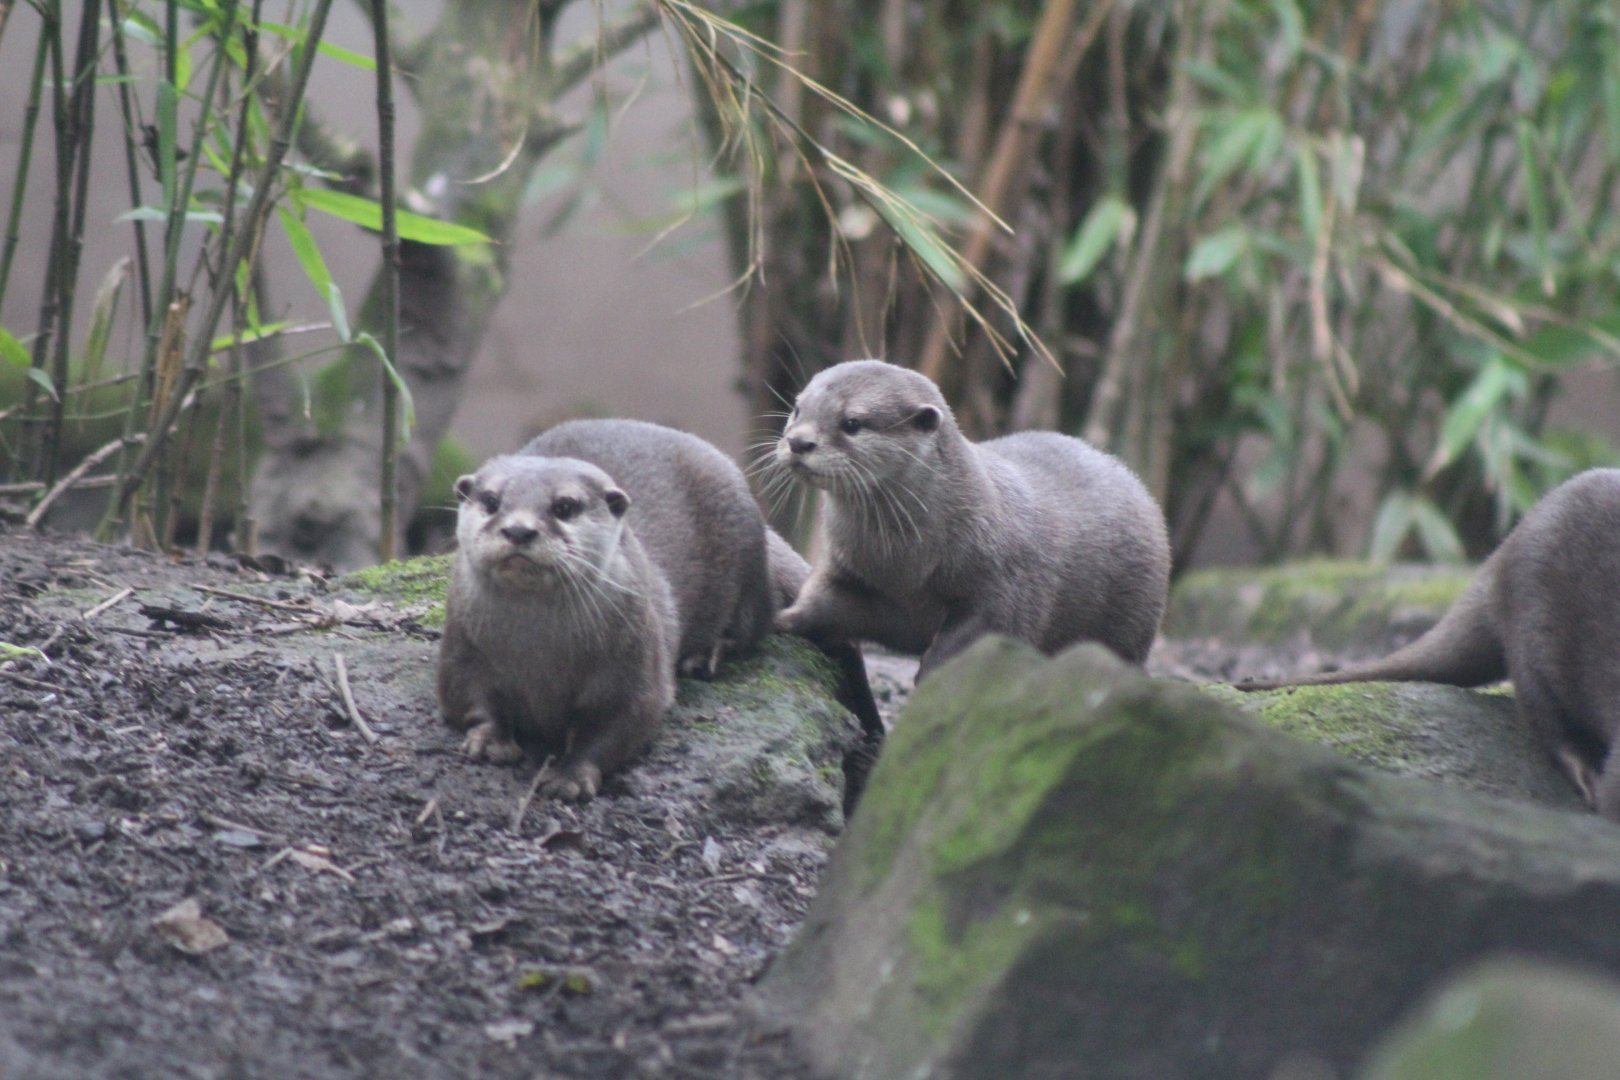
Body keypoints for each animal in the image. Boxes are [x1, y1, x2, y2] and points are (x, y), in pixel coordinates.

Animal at [771, 359, 1172, 677]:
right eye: (798, 409)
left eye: (852, 422)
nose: (799, 442)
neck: (903, 567)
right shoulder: (848, 569)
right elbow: (820, 598)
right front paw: (783, 618)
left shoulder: (1003, 585)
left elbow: (979, 633)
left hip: (1132, 621)